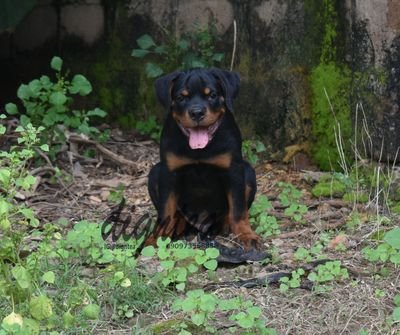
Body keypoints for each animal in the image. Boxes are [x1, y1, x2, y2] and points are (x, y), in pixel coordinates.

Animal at [145, 69, 260, 249]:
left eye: (212, 95)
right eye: (181, 97)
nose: (197, 112)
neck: (200, 150)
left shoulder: (233, 171)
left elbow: (238, 209)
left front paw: (247, 235)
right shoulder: (169, 173)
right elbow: (166, 210)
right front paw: (157, 237)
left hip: (248, 172)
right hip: (155, 173)